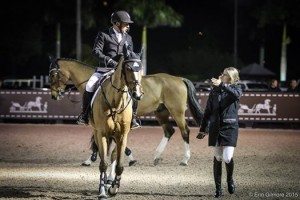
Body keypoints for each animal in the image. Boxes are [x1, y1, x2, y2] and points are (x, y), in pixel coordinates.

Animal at [49, 50, 144, 198]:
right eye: (128, 68)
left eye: (53, 74)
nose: (54, 95)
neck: (115, 102)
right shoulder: (101, 132)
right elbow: (103, 161)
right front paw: (103, 190)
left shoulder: (122, 134)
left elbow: (119, 164)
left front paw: (113, 188)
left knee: (113, 155)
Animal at [49, 55, 204, 166]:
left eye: (53, 75)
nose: (54, 95)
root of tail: (179, 78)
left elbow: (99, 139)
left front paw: (91, 159)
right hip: (161, 112)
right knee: (169, 131)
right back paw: (156, 157)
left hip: (177, 111)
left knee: (185, 131)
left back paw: (184, 159)